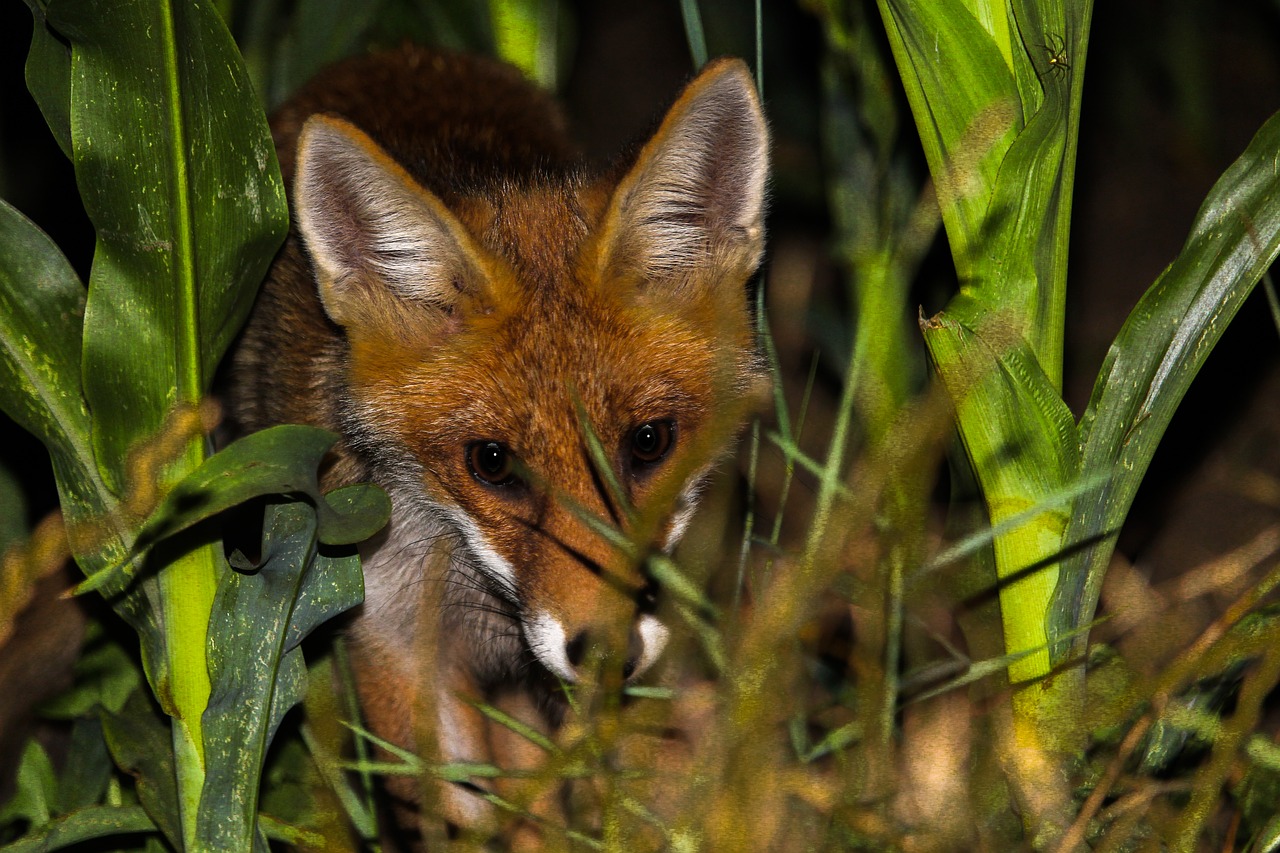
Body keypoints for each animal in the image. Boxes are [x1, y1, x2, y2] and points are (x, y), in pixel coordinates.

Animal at [230, 44, 768, 829]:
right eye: (491, 463)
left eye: (648, 441)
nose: (604, 653)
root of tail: (395, 51)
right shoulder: (392, 640)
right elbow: (467, 819)